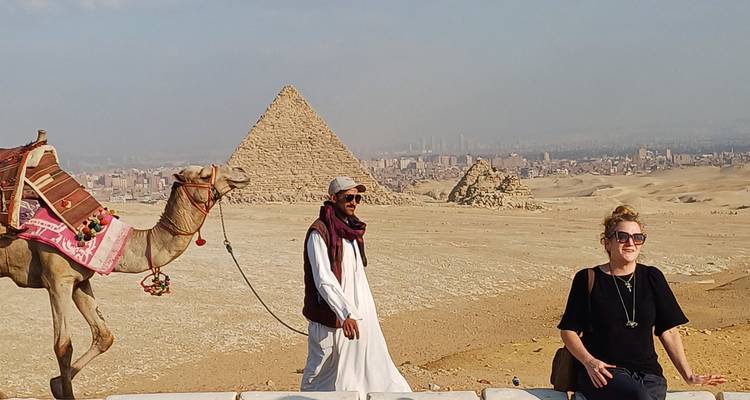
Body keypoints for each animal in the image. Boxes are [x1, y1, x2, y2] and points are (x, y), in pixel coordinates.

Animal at [0, 163, 250, 399]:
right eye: (205, 175)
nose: (242, 172)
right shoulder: (58, 279)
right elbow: (63, 346)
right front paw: (65, 391)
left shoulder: (80, 280)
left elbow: (104, 336)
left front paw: (57, 385)